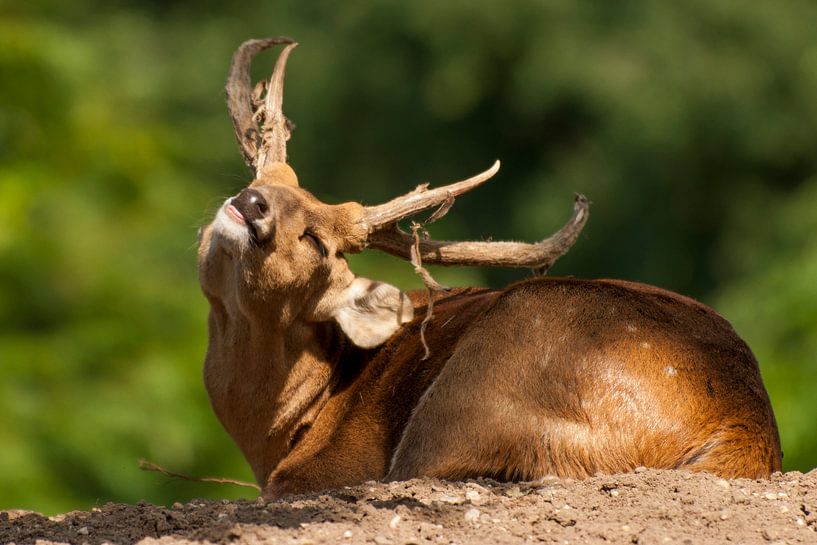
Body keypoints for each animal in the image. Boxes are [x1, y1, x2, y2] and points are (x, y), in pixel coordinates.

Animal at [197, 37, 782, 499]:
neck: (282, 427)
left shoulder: (326, 468)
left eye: (318, 241)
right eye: (265, 178)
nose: (252, 203)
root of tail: (745, 429)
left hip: (480, 385)